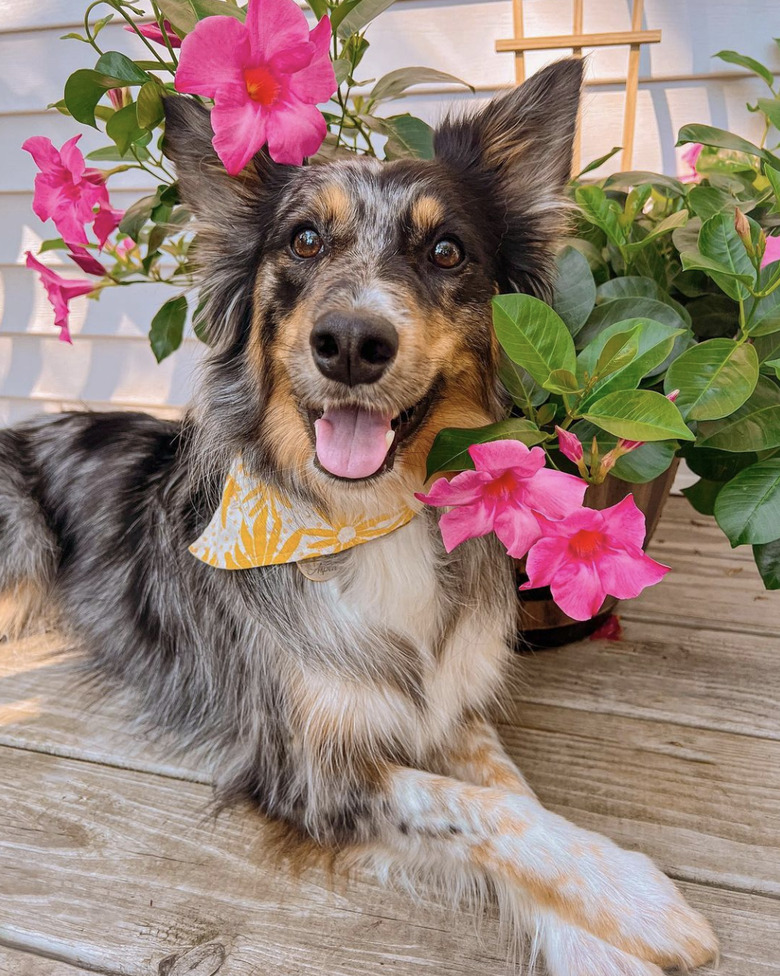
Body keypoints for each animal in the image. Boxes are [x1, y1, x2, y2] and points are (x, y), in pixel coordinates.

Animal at [1, 61, 720, 976]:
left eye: (447, 251)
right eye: (304, 241)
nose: (349, 342)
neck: (365, 516)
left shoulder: (447, 702)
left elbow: (515, 795)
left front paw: (600, 932)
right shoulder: (309, 771)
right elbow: (476, 808)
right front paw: (639, 897)